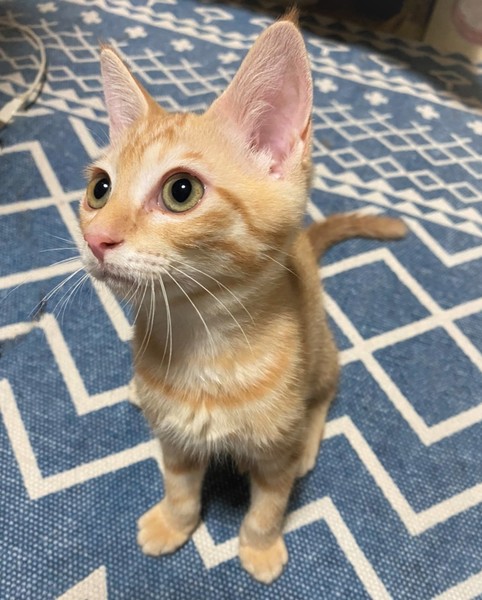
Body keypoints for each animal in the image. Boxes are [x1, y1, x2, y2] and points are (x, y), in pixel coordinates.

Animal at [79, 13, 406, 584]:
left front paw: (259, 547)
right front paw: (173, 523)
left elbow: (269, 504)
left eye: (180, 191)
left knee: (325, 391)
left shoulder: (274, 455)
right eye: (99, 189)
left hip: (322, 353)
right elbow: (179, 486)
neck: (203, 344)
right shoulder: (176, 441)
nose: (97, 238)